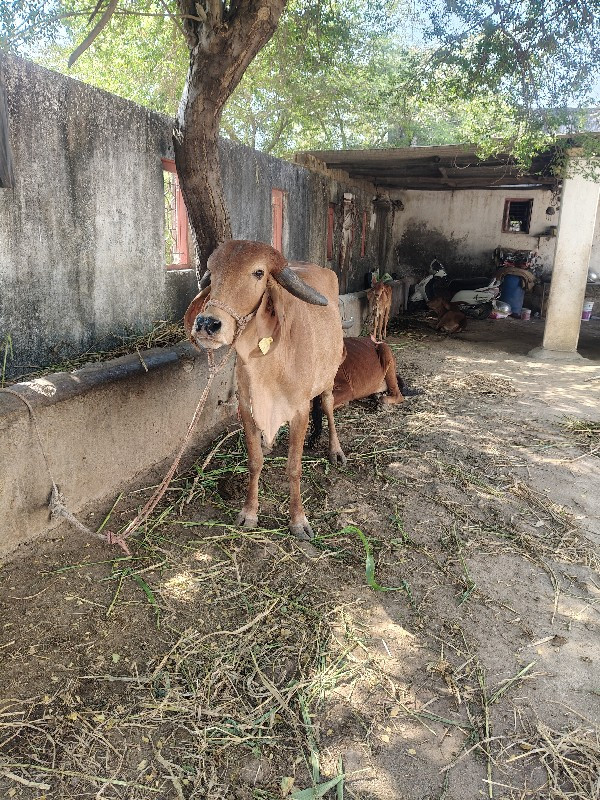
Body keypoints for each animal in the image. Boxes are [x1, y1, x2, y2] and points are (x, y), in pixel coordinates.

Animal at [183, 238, 344, 536]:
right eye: (213, 269)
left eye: (258, 272)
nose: (206, 323)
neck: (269, 365)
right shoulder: (247, 408)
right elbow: (254, 461)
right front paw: (249, 512)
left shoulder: (300, 411)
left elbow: (294, 467)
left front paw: (298, 520)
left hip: (329, 376)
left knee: (328, 405)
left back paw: (336, 450)